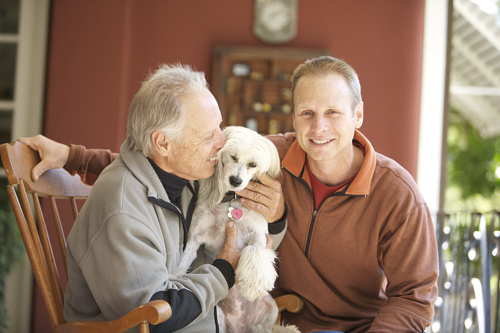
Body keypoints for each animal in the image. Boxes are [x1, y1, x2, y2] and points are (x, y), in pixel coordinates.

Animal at [176, 126, 298, 330]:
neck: (230, 201)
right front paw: (172, 279)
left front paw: (251, 286)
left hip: (270, 310)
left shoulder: (258, 234)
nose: (236, 180)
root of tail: (241, 327)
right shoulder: (195, 237)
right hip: (217, 315)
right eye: (233, 157)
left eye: (252, 164)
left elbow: (255, 251)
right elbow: (183, 262)